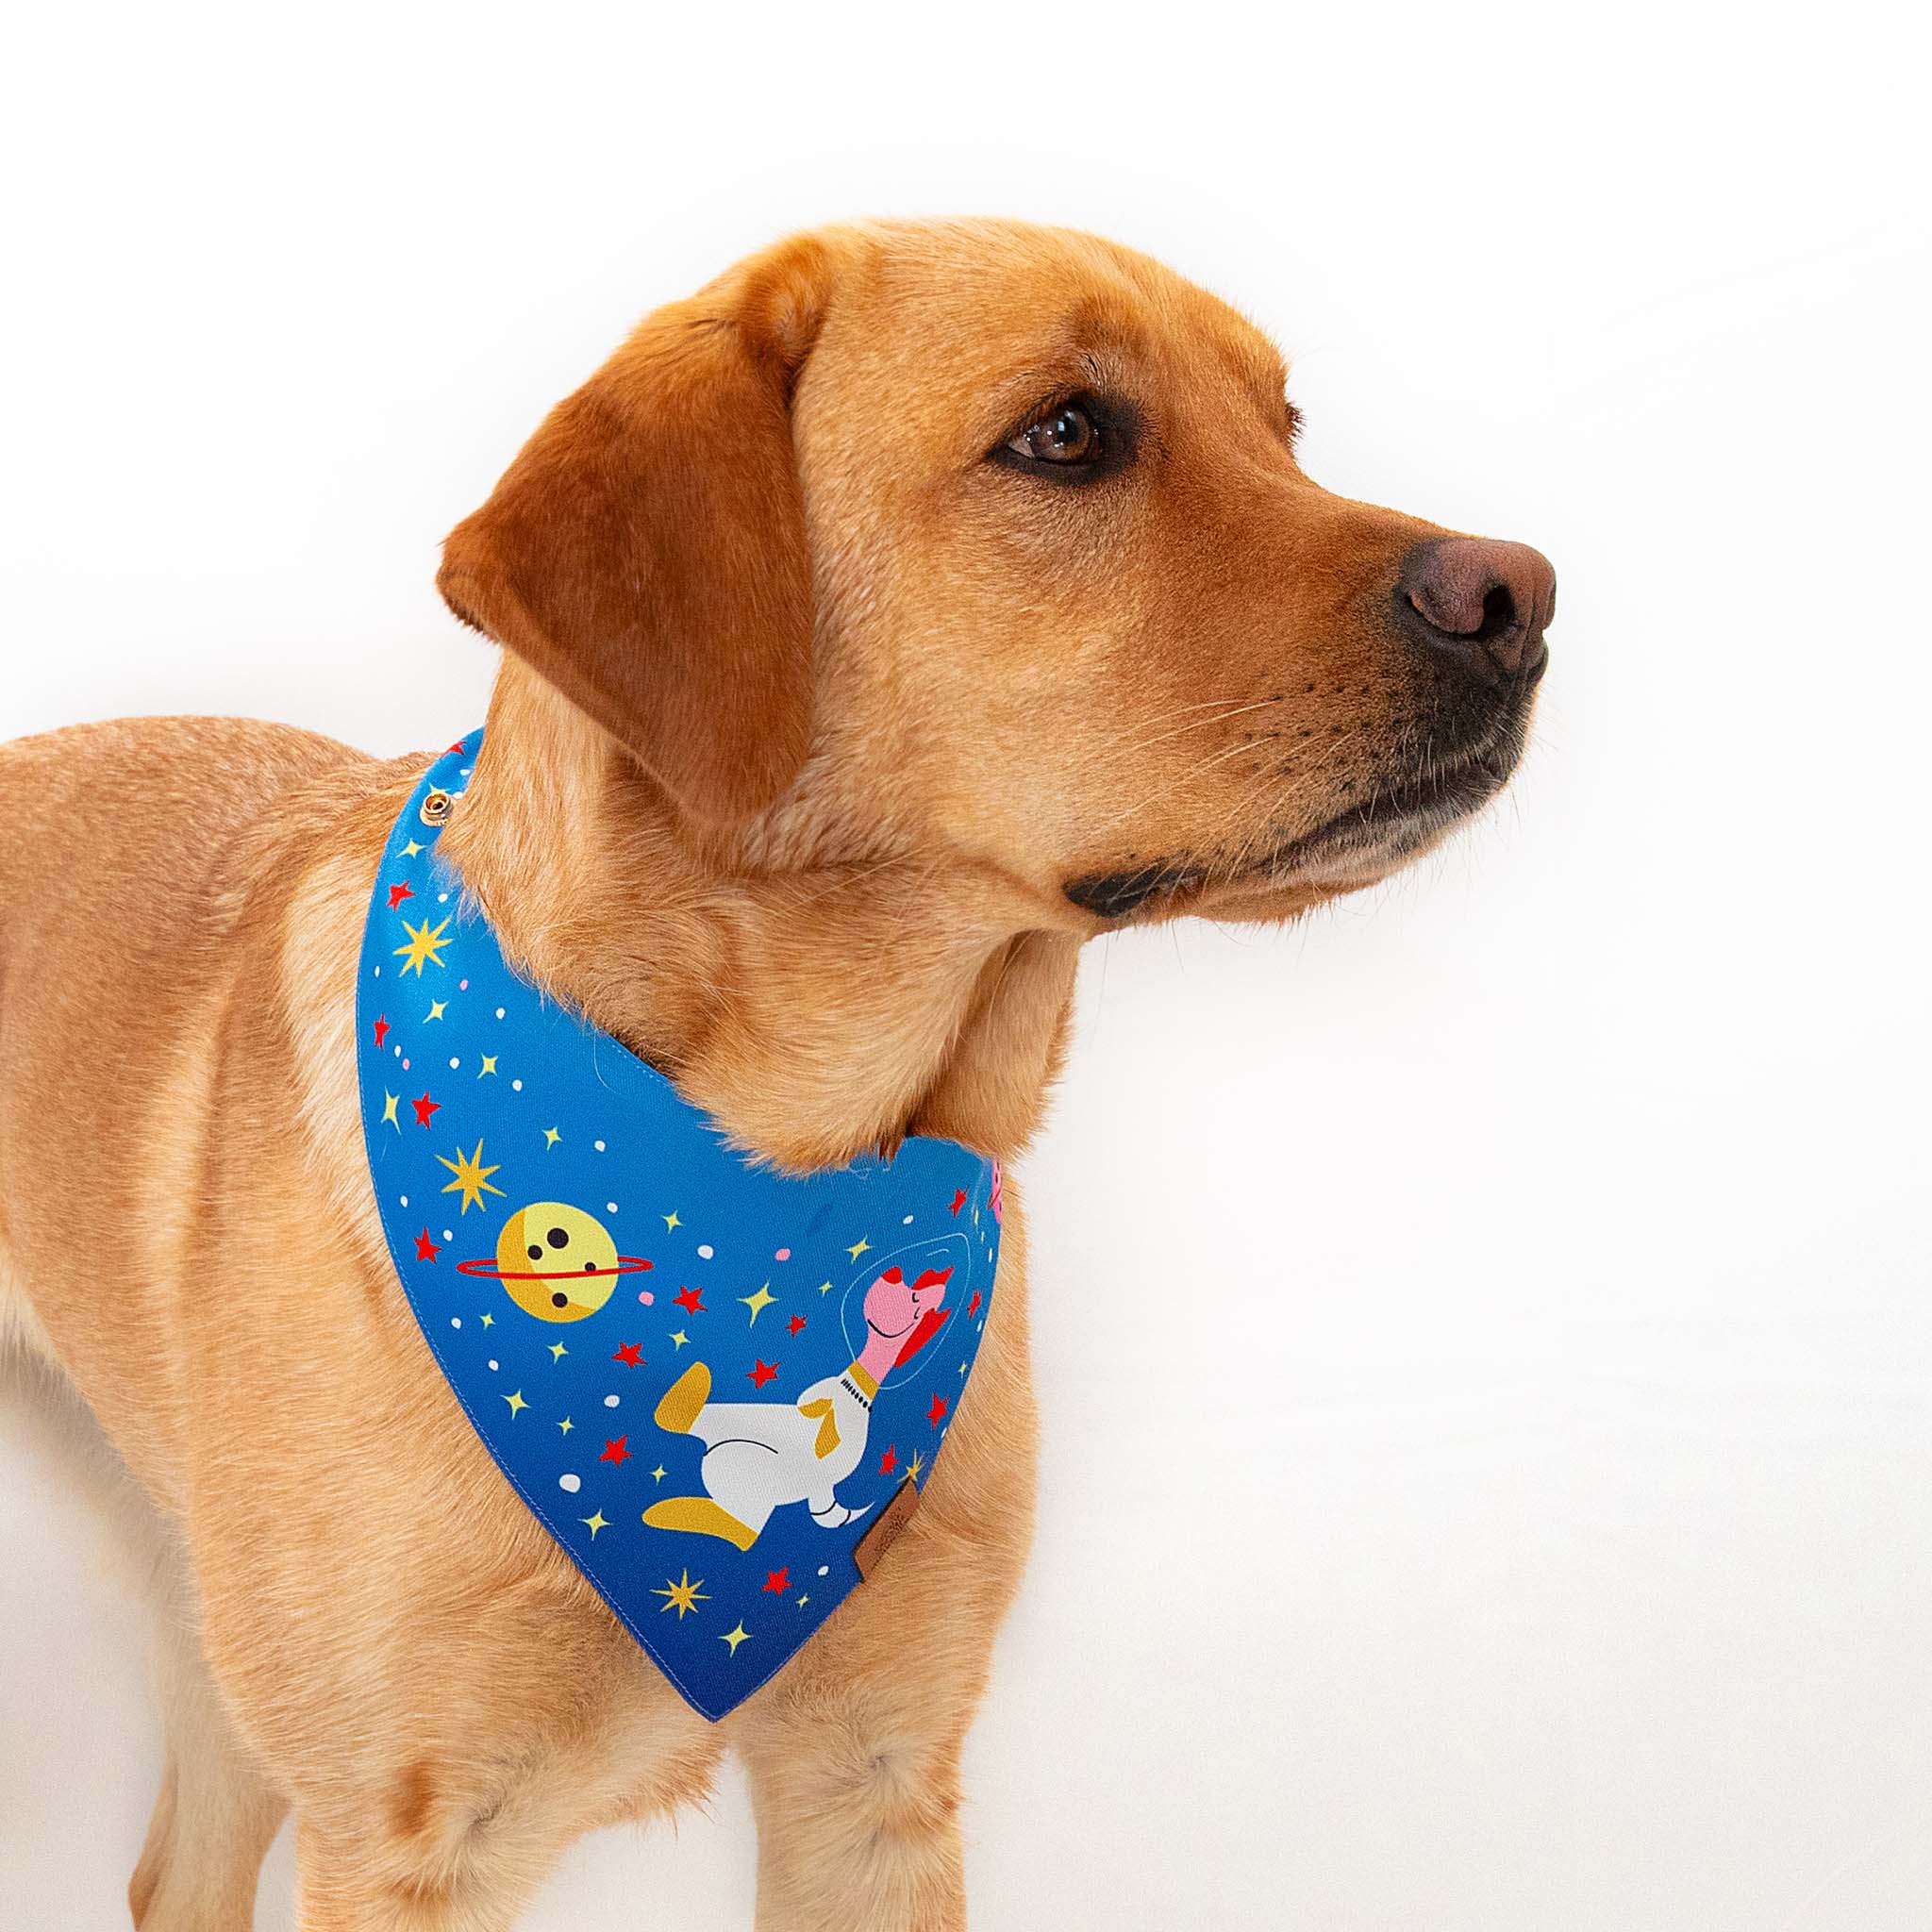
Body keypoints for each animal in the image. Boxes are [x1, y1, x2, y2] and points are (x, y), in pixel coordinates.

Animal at [0, 219, 1553, 1924]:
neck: (770, 1178)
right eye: (1066, 434)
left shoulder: (875, 1780)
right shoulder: (407, 1847)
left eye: (1284, 429)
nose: (1518, 596)